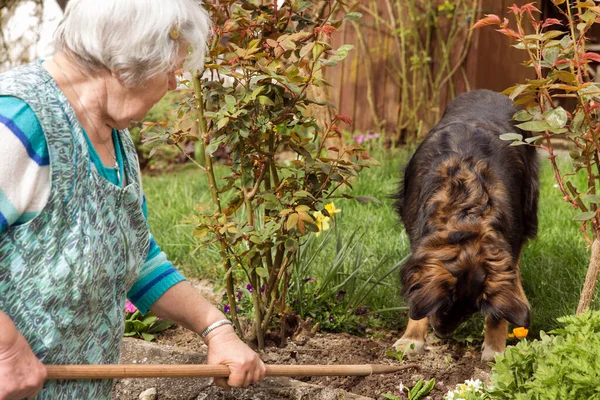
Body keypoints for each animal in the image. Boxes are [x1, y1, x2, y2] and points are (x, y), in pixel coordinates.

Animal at [394, 90, 540, 362]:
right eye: (446, 303)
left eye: (471, 309)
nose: (441, 334)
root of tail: (490, 92)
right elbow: (417, 295)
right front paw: (412, 338)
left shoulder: (507, 244)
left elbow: (500, 303)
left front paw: (495, 347)